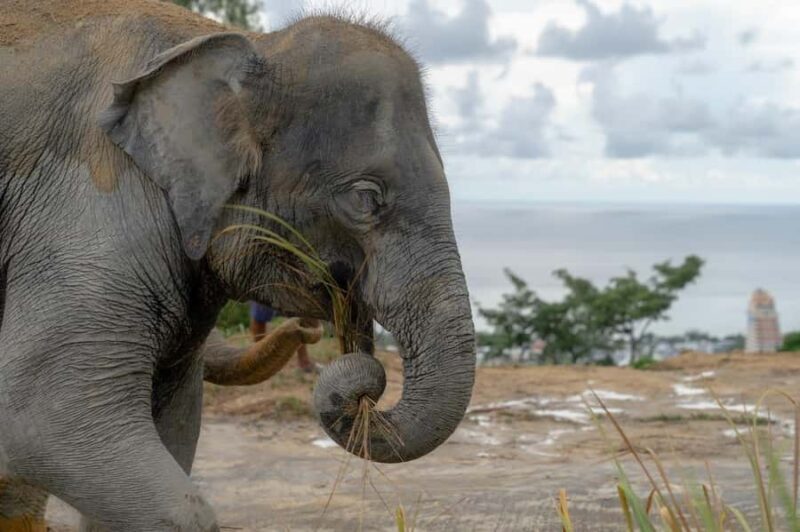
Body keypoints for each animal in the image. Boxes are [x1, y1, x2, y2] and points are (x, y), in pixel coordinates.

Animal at [0, 0, 476, 530]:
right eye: (366, 198)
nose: (312, 329)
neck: (249, 46)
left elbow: (176, 423)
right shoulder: (89, 206)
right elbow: (43, 420)